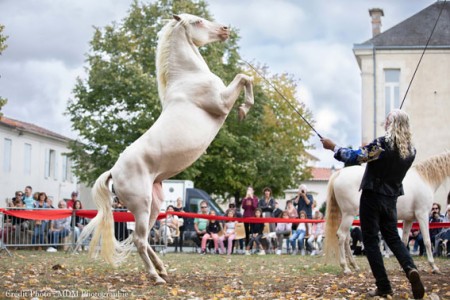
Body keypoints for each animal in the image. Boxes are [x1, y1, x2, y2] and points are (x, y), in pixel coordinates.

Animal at [77, 13, 253, 284]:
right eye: (198, 21)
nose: (225, 29)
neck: (189, 77)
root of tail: (113, 171)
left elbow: (247, 77)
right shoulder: (222, 102)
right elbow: (244, 77)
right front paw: (245, 108)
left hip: (155, 205)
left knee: (145, 237)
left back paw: (162, 269)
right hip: (142, 204)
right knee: (139, 238)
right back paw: (155, 276)